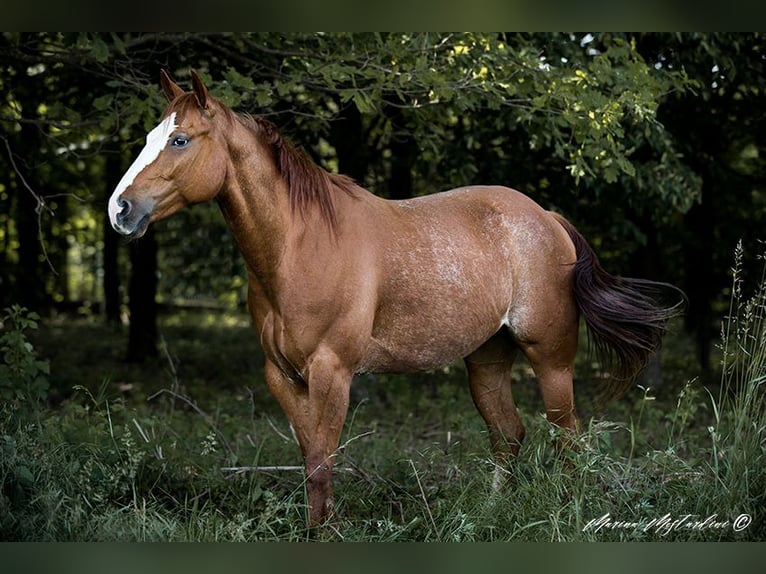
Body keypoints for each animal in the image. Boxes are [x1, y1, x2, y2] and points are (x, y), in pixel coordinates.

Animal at [108, 70, 679, 527]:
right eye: (150, 136)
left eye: (180, 139)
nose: (120, 209)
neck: (300, 245)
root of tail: (548, 218)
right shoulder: (282, 376)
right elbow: (310, 457)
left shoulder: (332, 372)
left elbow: (320, 461)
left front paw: (324, 534)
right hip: (486, 360)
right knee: (509, 434)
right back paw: (490, 513)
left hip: (551, 359)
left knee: (567, 438)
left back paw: (567, 513)